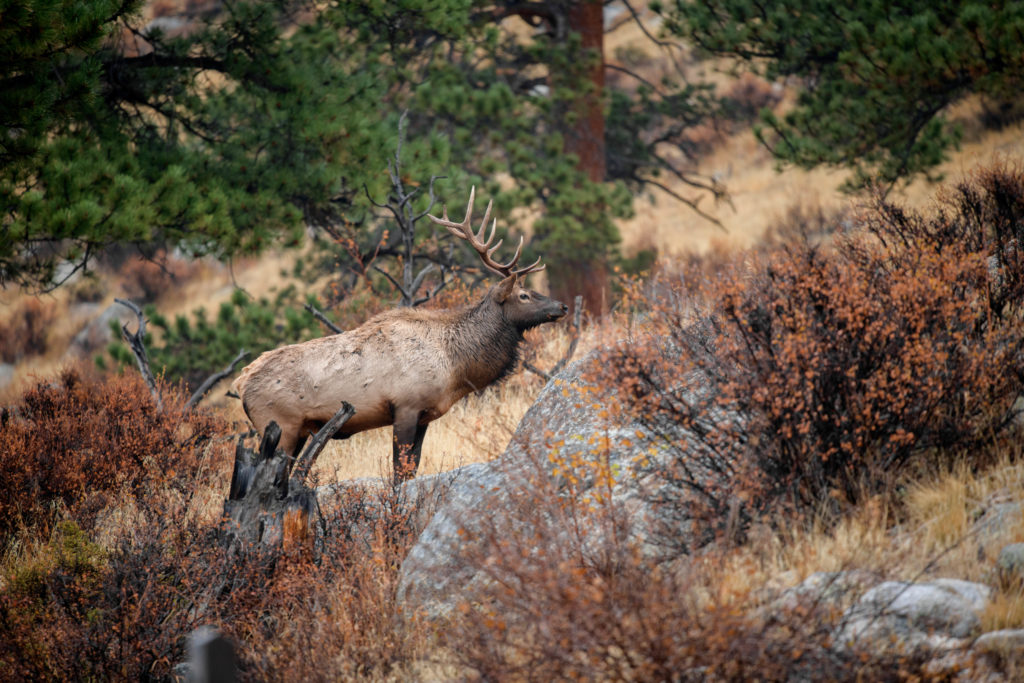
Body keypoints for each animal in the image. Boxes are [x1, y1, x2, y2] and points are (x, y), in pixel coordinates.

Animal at [230, 189, 569, 483]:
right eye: (524, 295)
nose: (562, 305)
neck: (455, 367)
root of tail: (241, 382)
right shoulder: (405, 406)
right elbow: (399, 472)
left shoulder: (424, 416)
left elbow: (411, 470)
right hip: (280, 424)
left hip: (296, 430)